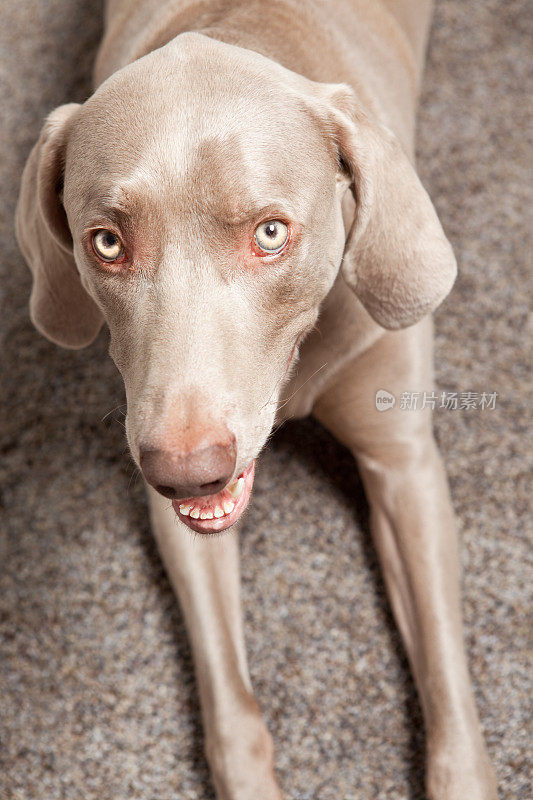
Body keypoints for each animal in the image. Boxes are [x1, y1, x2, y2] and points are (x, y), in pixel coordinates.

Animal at [16, 1, 496, 800]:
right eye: (106, 243)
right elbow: (234, 716)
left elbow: (450, 701)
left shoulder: (406, 469)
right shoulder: (173, 501)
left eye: (271, 233)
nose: (186, 472)